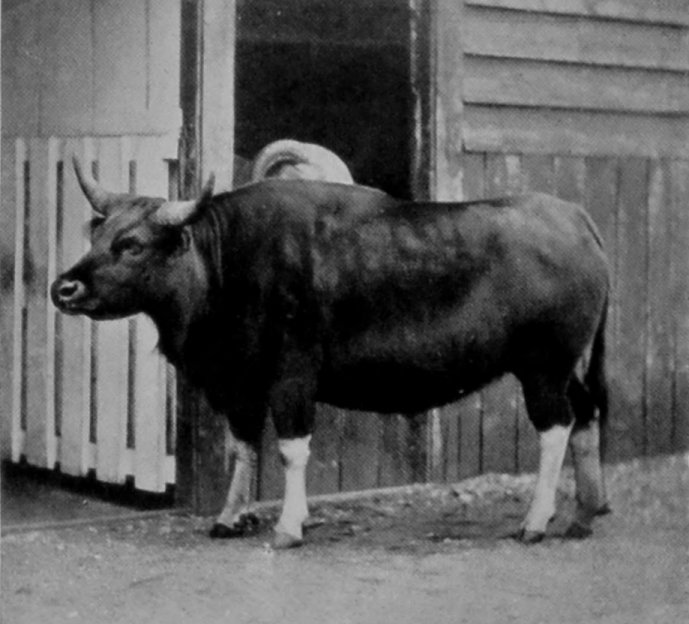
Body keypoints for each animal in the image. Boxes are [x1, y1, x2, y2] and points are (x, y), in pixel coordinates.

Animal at [51, 159, 611, 548]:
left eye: (132, 244)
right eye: (97, 235)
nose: (64, 288)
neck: (226, 263)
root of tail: (578, 218)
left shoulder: (292, 378)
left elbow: (290, 449)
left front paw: (288, 526)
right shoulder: (241, 385)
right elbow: (243, 447)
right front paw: (230, 517)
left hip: (543, 366)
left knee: (556, 426)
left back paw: (536, 522)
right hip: (569, 367)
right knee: (586, 414)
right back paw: (585, 512)